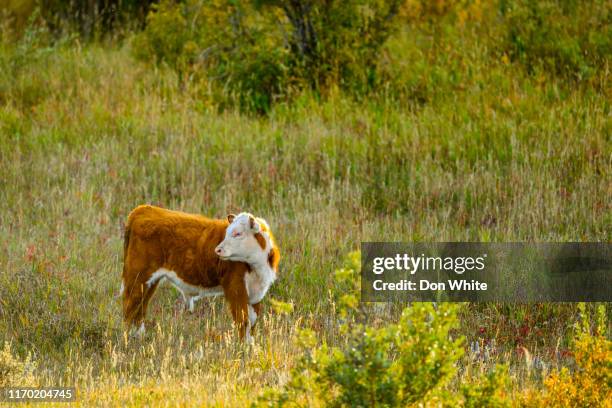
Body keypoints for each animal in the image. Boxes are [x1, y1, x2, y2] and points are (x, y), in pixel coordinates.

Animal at [120, 206, 282, 342]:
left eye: (238, 233)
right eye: (227, 232)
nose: (218, 250)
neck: (258, 265)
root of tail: (143, 209)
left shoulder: (257, 293)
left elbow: (252, 321)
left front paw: (250, 346)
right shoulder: (235, 287)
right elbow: (243, 320)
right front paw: (241, 347)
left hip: (150, 281)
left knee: (140, 307)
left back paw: (138, 336)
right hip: (138, 276)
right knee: (130, 307)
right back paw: (127, 339)